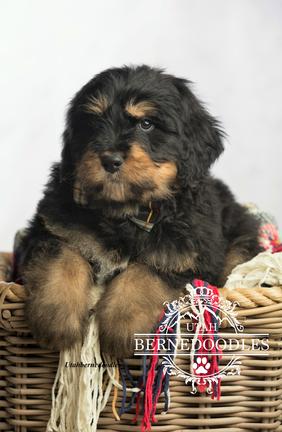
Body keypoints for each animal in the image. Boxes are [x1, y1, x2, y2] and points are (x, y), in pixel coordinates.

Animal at [20, 65, 262, 358]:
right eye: (93, 122)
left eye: (146, 123)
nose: (109, 159)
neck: (126, 213)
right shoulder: (54, 227)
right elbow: (63, 258)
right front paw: (56, 318)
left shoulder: (190, 258)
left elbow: (145, 272)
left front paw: (123, 326)